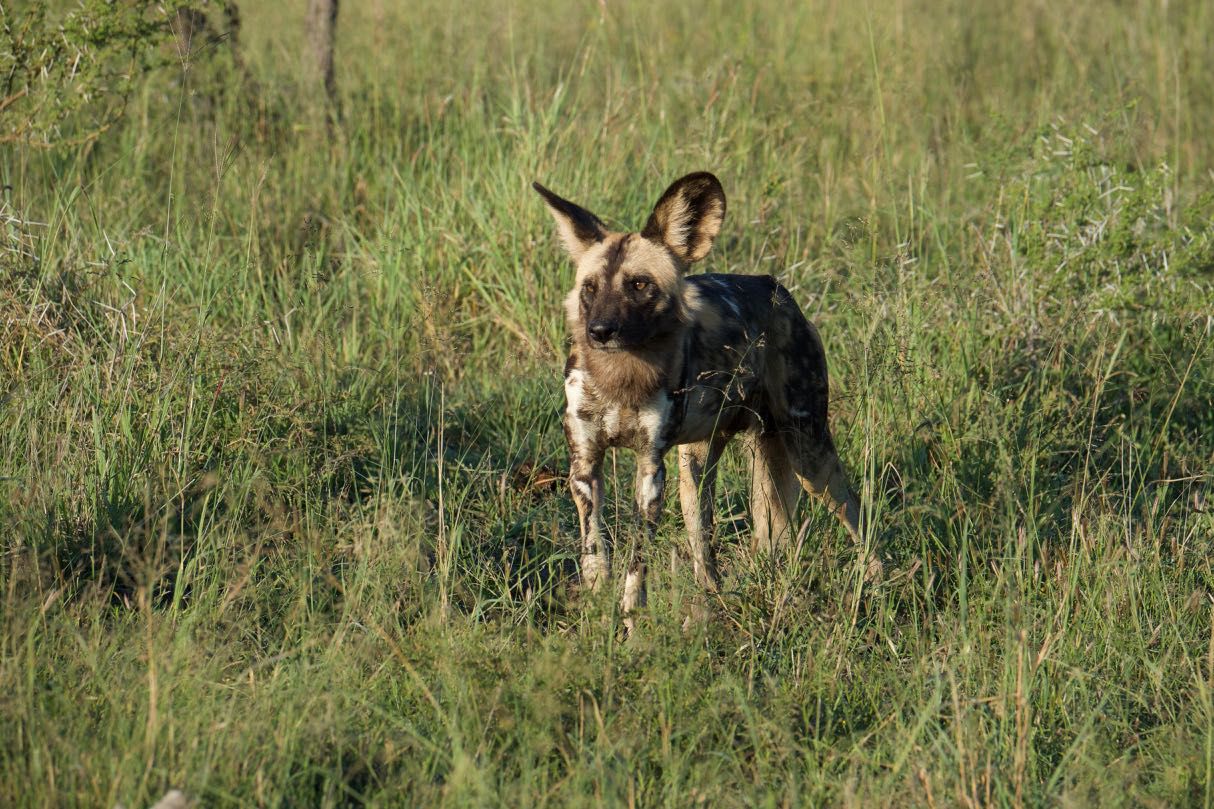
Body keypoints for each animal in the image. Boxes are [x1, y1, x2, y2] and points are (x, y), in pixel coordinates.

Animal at [531, 171, 874, 631]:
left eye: (639, 285)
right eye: (590, 288)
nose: (600, 331)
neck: (620, 380)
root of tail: (777, 290)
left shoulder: (649, 469)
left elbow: (637, 558)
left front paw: (630, 620)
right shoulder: (585, 465)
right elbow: (594, 549)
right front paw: (596, 608)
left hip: (809, 453)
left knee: (857, 515)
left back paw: (878, 586)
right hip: (695, 472)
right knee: (706, 554)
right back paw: (715, 606)